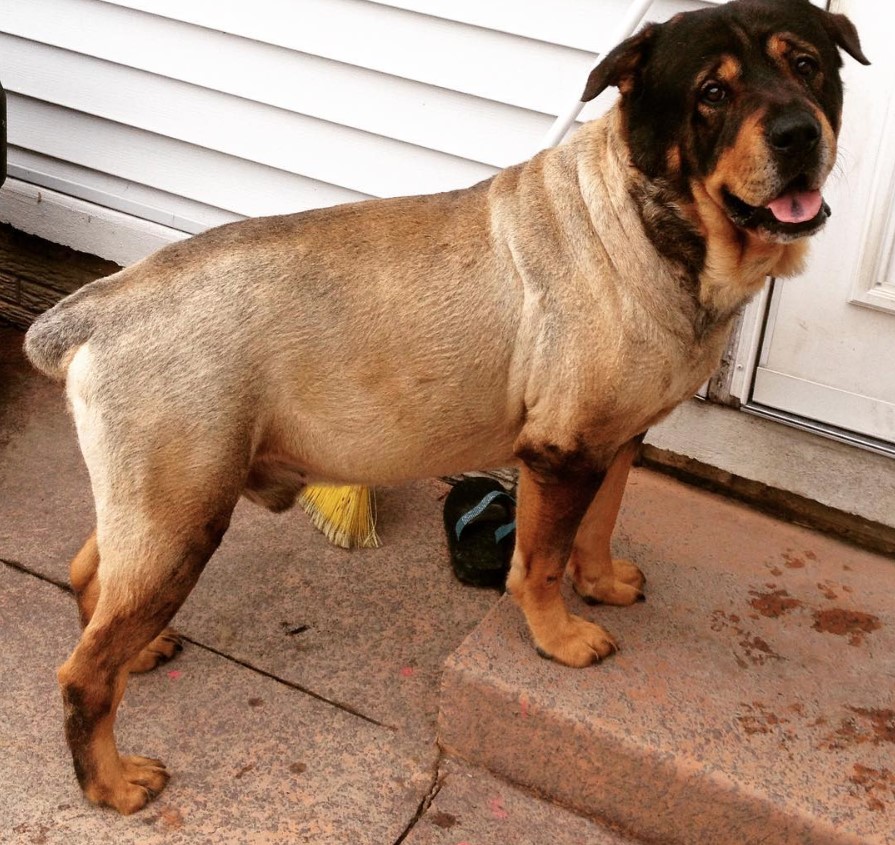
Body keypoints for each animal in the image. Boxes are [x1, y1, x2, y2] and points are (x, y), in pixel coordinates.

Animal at [22, 0, 868, 816]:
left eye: (807, 65)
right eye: (712, 93)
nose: (798, 132)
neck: (639, 211)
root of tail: (97, 310)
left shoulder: (614, 440)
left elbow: (598, 524)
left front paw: (601, 581)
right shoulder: (561, 452)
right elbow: (541, 560)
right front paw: (559, 636)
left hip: (152, 507)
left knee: (90, 574)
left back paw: (142, 652)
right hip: (184, 517)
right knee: (82, 671)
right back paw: (111, 783)